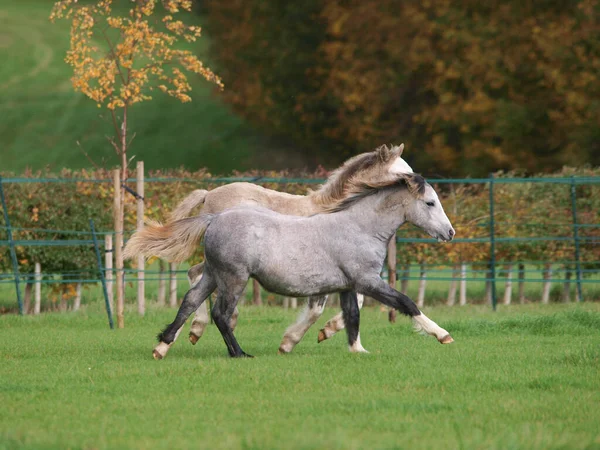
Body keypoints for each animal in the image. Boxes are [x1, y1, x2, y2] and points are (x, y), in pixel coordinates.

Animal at [125, 172, 454, 358]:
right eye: (430, 203)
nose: (450, 233)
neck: (359, 227)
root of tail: (213, 218)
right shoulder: (368, 280)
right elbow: (406, 303)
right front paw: (442, 335)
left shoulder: (348, 285)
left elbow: (352, 317)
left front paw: (357, 350)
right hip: (234, 278)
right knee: (221, 314)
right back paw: (239, 353)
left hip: (212, 275)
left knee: (190, 301)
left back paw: (162, 346)